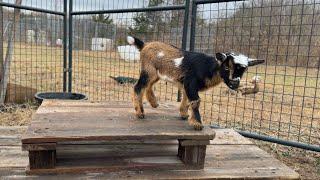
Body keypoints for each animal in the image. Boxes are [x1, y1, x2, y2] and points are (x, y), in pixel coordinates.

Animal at [127, 35, 264, 130]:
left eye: (244, 70)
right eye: (226, 67)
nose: (234, 83)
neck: (209, 68)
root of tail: (145, 45)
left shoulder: (187, 85)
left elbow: (187, 99)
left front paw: (184, 114)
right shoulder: (190, 82)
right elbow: (196, 101)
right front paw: (197, 123)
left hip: (156, 73)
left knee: (148, 85)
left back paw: (154, 103)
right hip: (148, 70)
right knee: (138, 87)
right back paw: (140, 112)